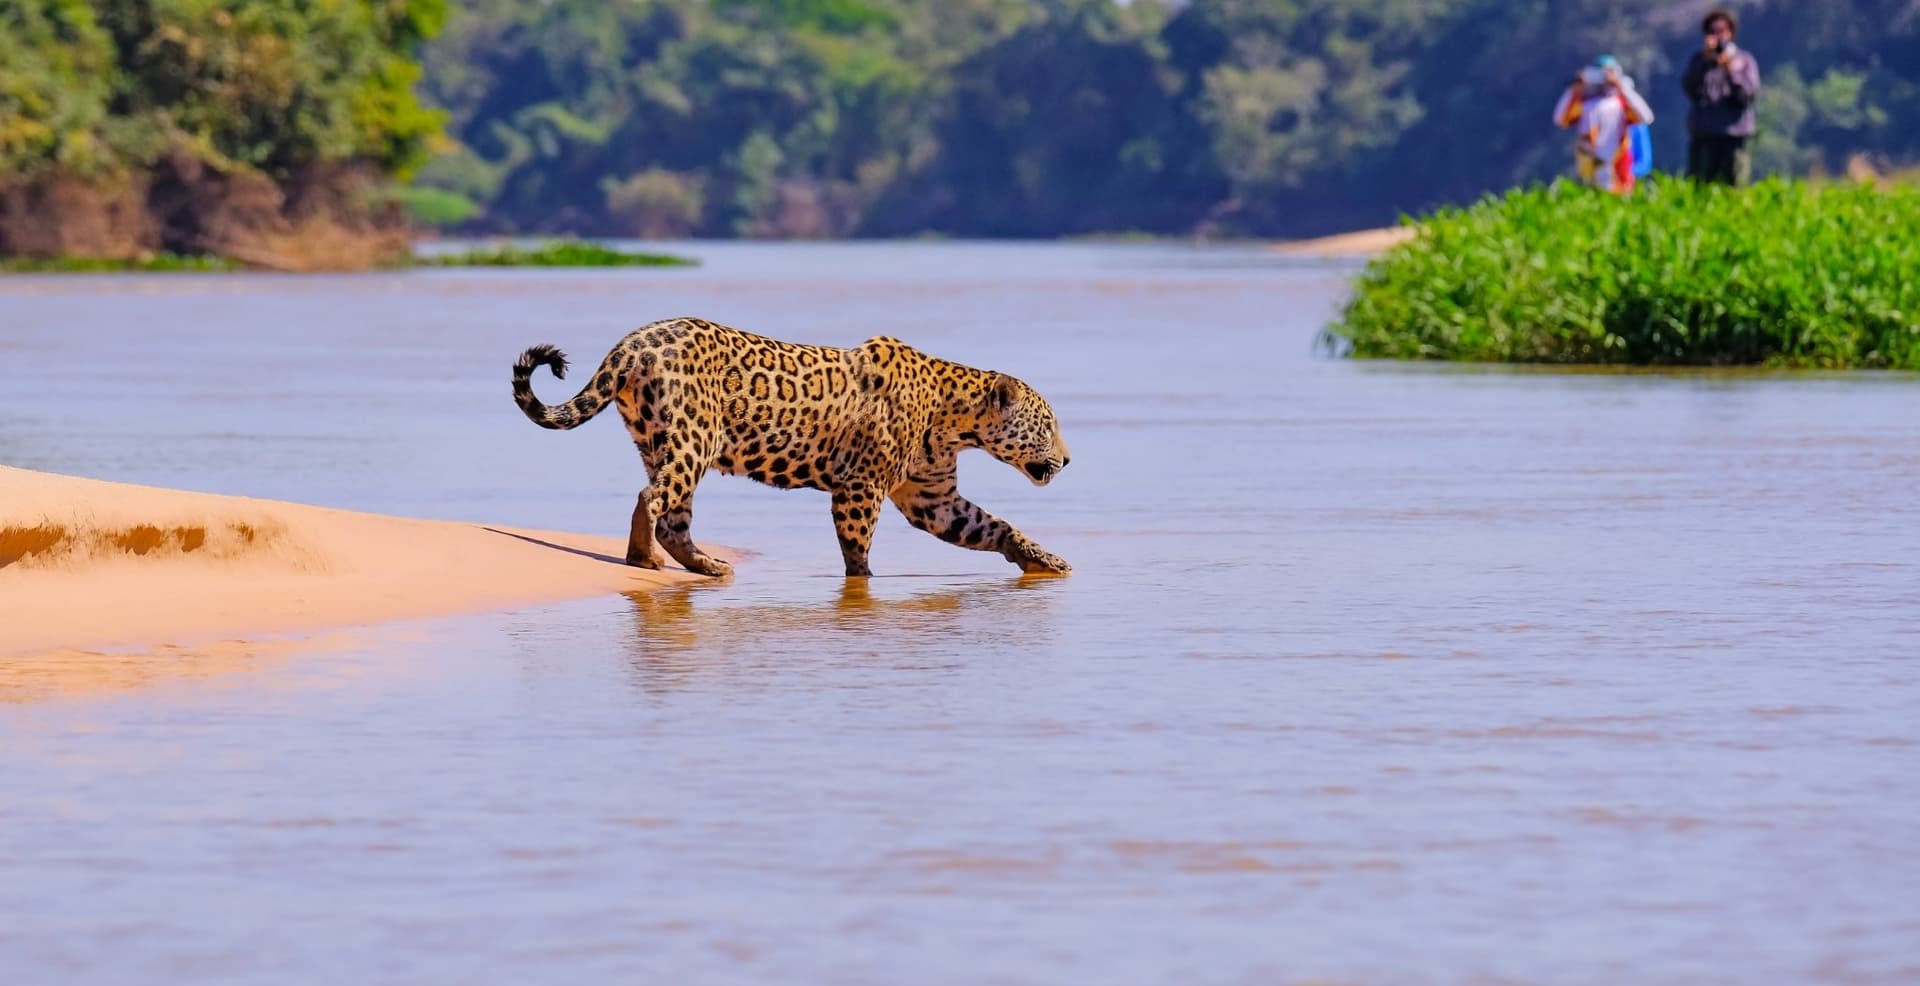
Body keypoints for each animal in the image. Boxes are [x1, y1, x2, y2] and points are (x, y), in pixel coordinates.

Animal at [511, 317, 1072, 578]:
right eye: (1048, 424)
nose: (1068, 459)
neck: (954, 418)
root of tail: (633, 342)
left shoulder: (933, 499)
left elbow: (994, 526)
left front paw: (1046, 560)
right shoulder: (861, 487)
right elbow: (857, 549)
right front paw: (863, 584)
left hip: (659, 439)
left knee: (673, 515)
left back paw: (706, 566)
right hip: (695, 436)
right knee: (653, 498)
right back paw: (643, 559)